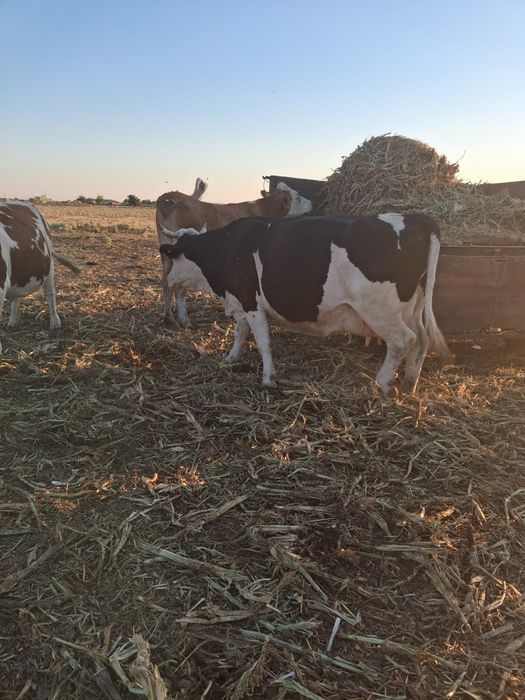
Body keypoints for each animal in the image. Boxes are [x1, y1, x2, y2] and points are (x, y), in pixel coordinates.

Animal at [156, 182, 312, 326]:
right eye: (297, 197)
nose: (311, 203)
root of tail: (173, 197)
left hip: (166, 256)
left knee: (166, 282)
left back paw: (168, 318)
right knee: (179, 287)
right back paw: (184, 320)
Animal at [159, 213, 453, 395]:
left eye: (174, 256)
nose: (168, 279)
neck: (229, 247)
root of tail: (413, 217)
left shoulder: (251, 301)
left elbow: (262, 340)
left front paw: (268, 379)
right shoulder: (240, 301)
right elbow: (240, 332)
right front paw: (231, 357)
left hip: (380, 309)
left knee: (403, 340)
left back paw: (383, 383)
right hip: (412, 307)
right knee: (421, 340)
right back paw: (409, 383)